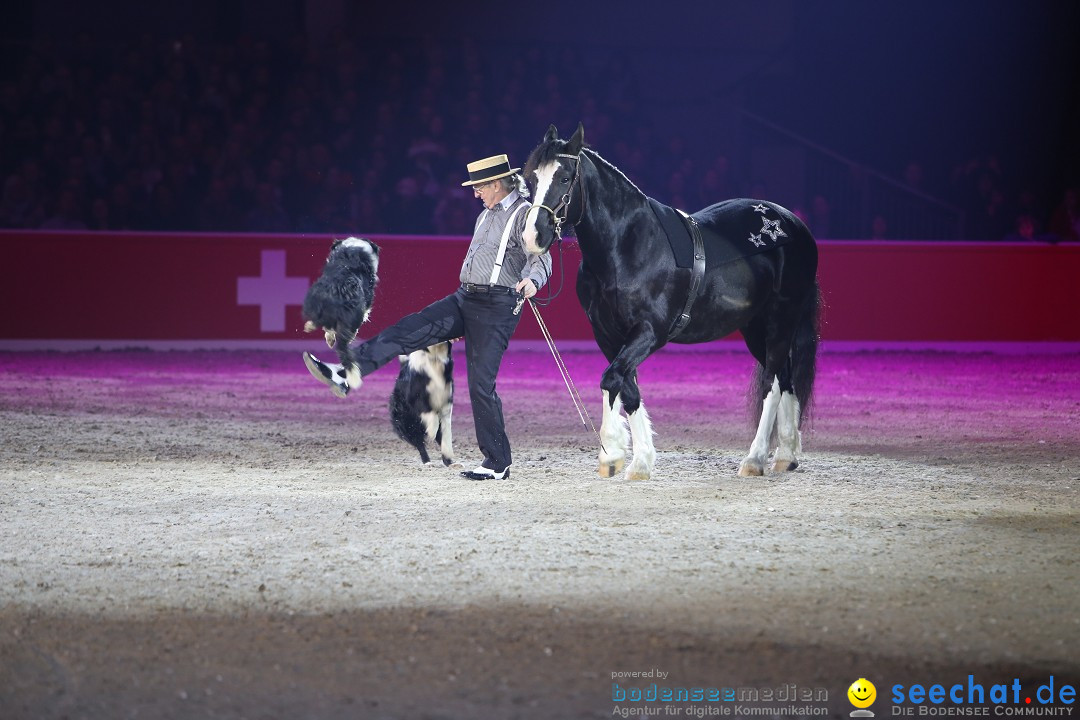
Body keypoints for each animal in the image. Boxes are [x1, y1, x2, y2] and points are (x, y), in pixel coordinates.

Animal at [522, 124, 816, 479]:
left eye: (565, 177)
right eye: (531, 179)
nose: (532, 237)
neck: (629, 246)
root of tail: (792, 223)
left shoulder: (650, 332)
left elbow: (610, 379)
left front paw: (611, 454)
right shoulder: (609, 335)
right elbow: (627, 387)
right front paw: (641, 462)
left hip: (781, 319)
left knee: (772, 383)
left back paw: (755, 459)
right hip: (756, 329)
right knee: (785, 377)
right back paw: (786, 454)